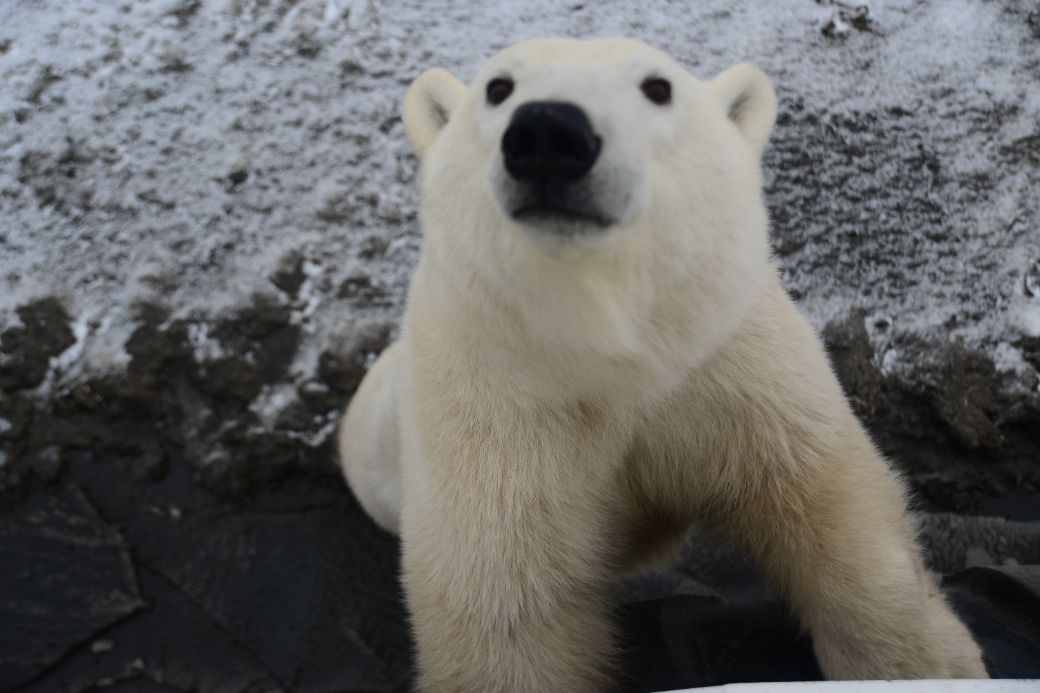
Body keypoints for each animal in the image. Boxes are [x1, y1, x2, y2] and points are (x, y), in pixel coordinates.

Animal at [337, 38, 988, 692]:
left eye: (657, 87)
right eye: (498, 88)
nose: (549, 133)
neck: (613, 349)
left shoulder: (730, 360)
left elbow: (827, 501)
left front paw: (931, 665)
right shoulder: (497, 408)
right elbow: (507, 603)